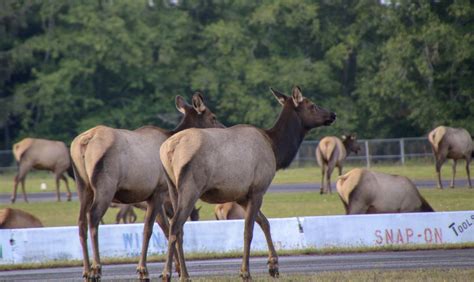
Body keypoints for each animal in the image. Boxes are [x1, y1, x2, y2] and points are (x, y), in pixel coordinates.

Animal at [70, 92, 224, 280]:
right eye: (213, 117)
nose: (224, 129)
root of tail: (83, 142)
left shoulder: (156, 197)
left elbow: (166, 229)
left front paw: (176, 269)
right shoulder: (158, 191)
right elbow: (149, 229)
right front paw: (144, 270)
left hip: (83, 186)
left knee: (81, 222)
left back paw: (86, 271)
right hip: (105, 185)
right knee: (93, 218)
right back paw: (96, 269)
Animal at [160, 87, 336, 280]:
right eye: (312, 105)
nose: (332, 114)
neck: (275, 149)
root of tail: (169, 149)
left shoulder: (242, 195)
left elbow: (265, 222)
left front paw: (273, 266)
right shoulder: (258, 189)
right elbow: (248, 231)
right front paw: (246, 272)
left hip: (173, 187)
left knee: (178, 228)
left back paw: (183, 274)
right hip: (191, 187)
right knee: (175, 225)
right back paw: (169, 274)